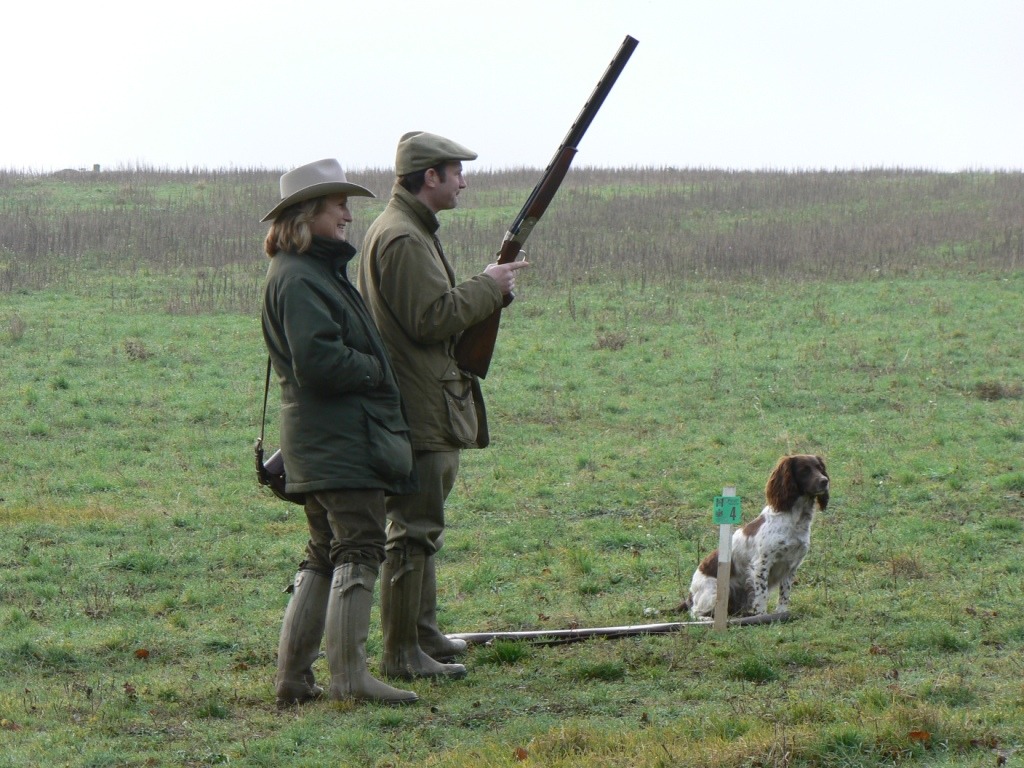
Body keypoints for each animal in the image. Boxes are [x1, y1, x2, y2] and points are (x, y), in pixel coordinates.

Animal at [679, 456, 831, 618]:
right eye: (804, 470)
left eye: (820, 468)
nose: (824, 481)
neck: (795, 520)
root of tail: (690, 594)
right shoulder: (761, 564)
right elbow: (762, 596)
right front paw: (762, 616)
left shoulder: (791, 566)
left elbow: (784, 594)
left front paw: (782, 614)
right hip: (714, 591)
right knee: (695, 612)